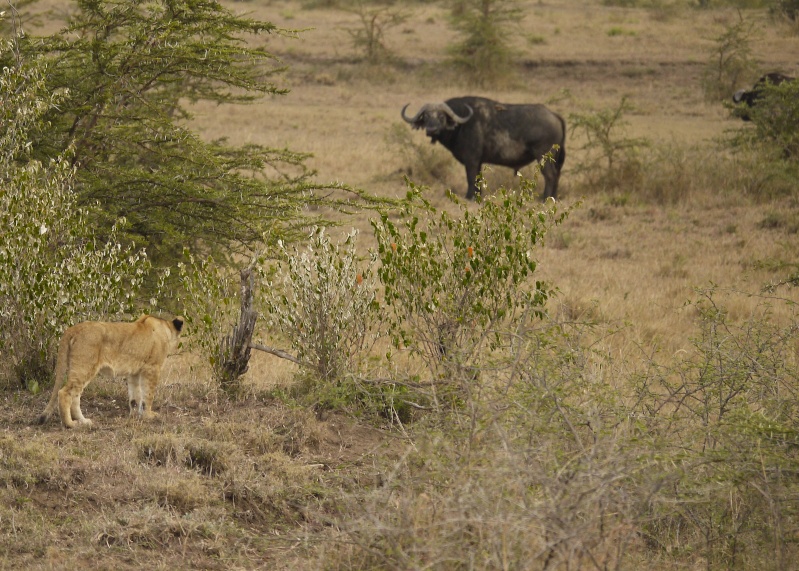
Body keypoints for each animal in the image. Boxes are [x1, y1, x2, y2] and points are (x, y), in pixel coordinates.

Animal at [37, 316, 184, 432]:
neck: (166, 327)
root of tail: (72, 329)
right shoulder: (152, 368)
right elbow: (148, 395)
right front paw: (149, 415)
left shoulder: (134, 372)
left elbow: (135, 396)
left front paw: (135, 415)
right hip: (84, 367)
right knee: (64, 393)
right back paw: (70, 424)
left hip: (81, 369)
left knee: (76, 396)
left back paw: (84, 421)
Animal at [404, 95, 564, 199]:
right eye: (426, 117)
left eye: (441, 116)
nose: (431, 130)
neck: (461, 125)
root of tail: (554, 114)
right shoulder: (479, 162)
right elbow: (478, 179)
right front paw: (478, 196)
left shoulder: (471, 160)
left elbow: (471, 178)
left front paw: (469, 196)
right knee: (557, 175)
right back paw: (553, 197)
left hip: (543, 155)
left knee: (550, 175)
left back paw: (544, 198)